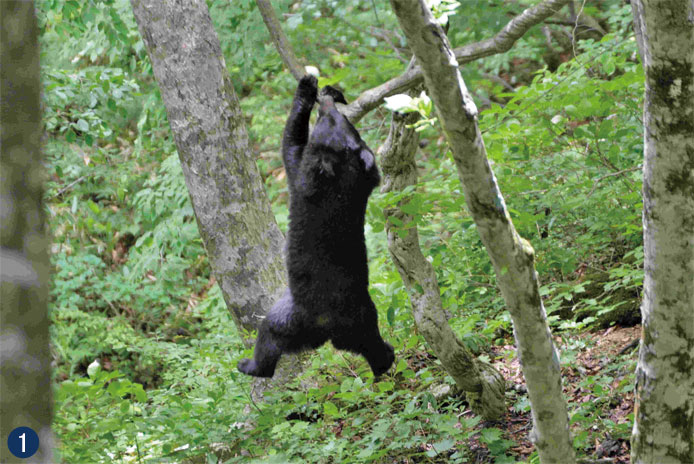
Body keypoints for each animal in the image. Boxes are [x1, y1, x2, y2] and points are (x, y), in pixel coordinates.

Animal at [237, 76, 394, 378]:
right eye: (346, 124)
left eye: (332, 120)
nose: (328, 106)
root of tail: (327, 328)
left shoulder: (307, 178)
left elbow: (291, 146)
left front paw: (306, 88)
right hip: (358, 321)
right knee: (372, 344)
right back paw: (386, 360)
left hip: (292, 320)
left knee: (269, 336)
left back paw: (250, 365)